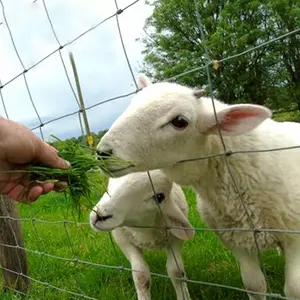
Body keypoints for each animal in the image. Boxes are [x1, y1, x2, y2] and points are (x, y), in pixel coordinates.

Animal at [88, 170, 195, 298]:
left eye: (159, 197)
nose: (100, 216)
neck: (143, 230)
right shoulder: (123, 239)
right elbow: (141, 276)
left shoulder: (175, 240)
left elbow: (176, 272)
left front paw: (184, 295)